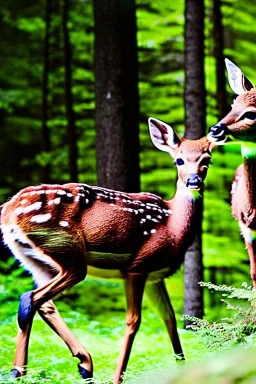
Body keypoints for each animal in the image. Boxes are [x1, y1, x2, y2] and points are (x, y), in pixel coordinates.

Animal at [1, 118, 215, 384]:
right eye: (179, 160)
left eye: (207, 160)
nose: (194, 181)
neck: (172, 225)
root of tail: (8, 212)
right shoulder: (139, 266)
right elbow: (134, 321)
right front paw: (117, 377)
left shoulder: (156, 276)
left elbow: (170, 319)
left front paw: (184, 370)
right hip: (67, 250)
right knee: (29, 298)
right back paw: (24, 370)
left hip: (36, 260)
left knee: (44, 304)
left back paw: (76, 365)